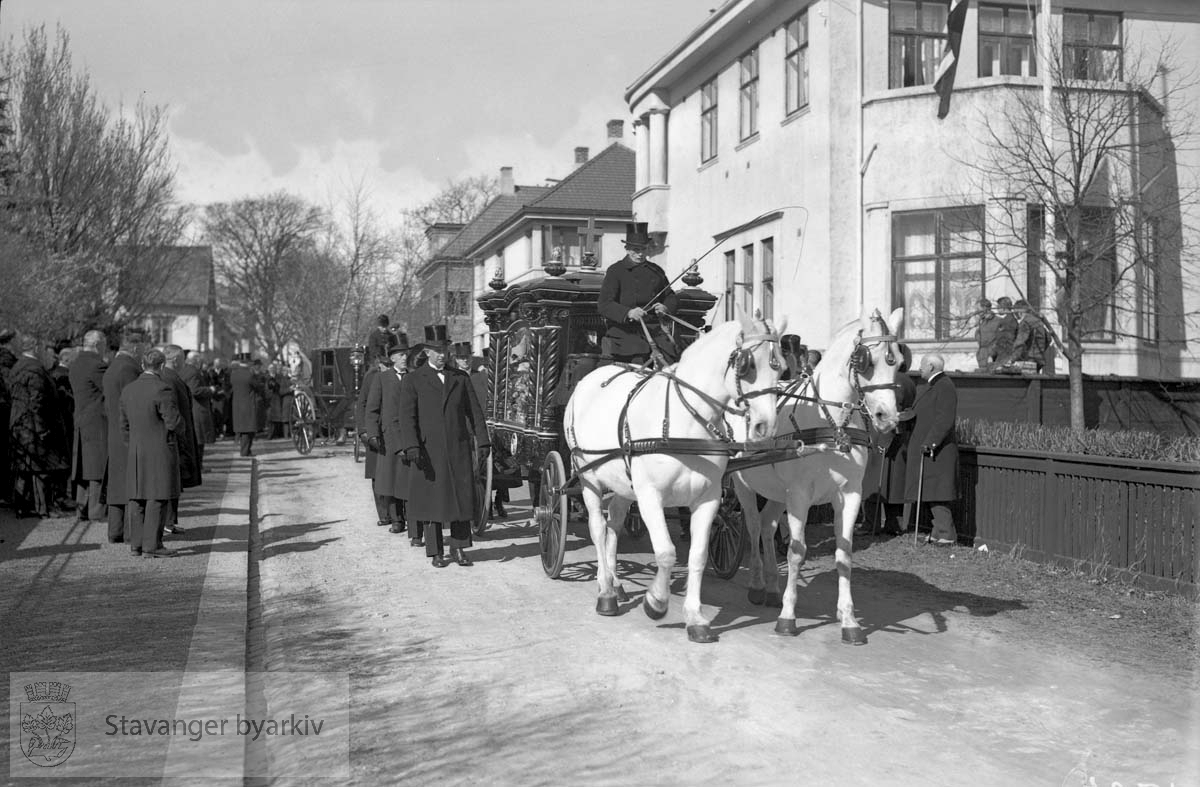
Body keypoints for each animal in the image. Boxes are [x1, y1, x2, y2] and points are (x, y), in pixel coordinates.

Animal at [564, 309, 787, 643]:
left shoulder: (708, 499)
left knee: (613, 523)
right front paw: (656, 601)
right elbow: (667, 553)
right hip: (588, 476)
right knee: (597, 528)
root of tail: (587, 380)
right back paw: (605, 592)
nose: (766, 428)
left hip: (623, 485)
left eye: (782, 367)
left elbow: (698, 556)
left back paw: (616, 583)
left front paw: (695, 618)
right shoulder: (650, 497)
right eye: (747, 365)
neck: (685, 425)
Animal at [724, 307, 902, 647]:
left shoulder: (849, 495)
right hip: (743, 485)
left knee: (767, 525)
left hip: (777, 492)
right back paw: (756, 584)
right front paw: (787, 617)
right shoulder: (800, 495)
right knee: (752, 526)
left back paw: (771, 587)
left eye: (898, 360)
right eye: (865, 361)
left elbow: (844, 553)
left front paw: (849, 621)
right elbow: (796, 552)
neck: (833, 425)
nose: (887, 418)